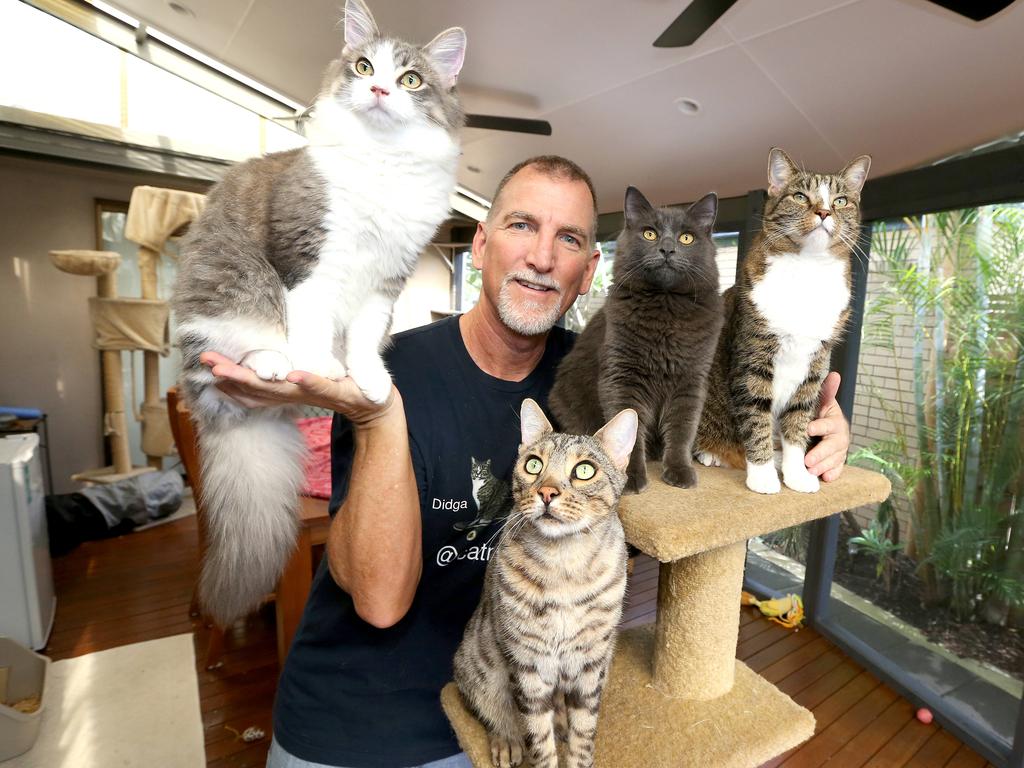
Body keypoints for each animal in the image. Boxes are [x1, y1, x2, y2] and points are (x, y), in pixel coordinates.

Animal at [173, 0, 468, 626]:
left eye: (411, 79)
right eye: (363, 66)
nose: (379, 88)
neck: (382, 163)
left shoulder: (384, 282)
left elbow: (362, 340)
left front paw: (368, 380)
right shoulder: (308, 262)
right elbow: (310, 324)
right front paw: (319, 367)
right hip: (234, 302)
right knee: (229, 354)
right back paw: (274, 364)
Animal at [692, 148, 868, 495]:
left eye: (840, 200)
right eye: (800, 196)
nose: (824, 212)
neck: (808, 270)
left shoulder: (815, 365)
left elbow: (798, 424)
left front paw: (796, 473)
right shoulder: (754, 359)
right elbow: (756, 417)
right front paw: (762, 476)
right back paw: (713, 453)